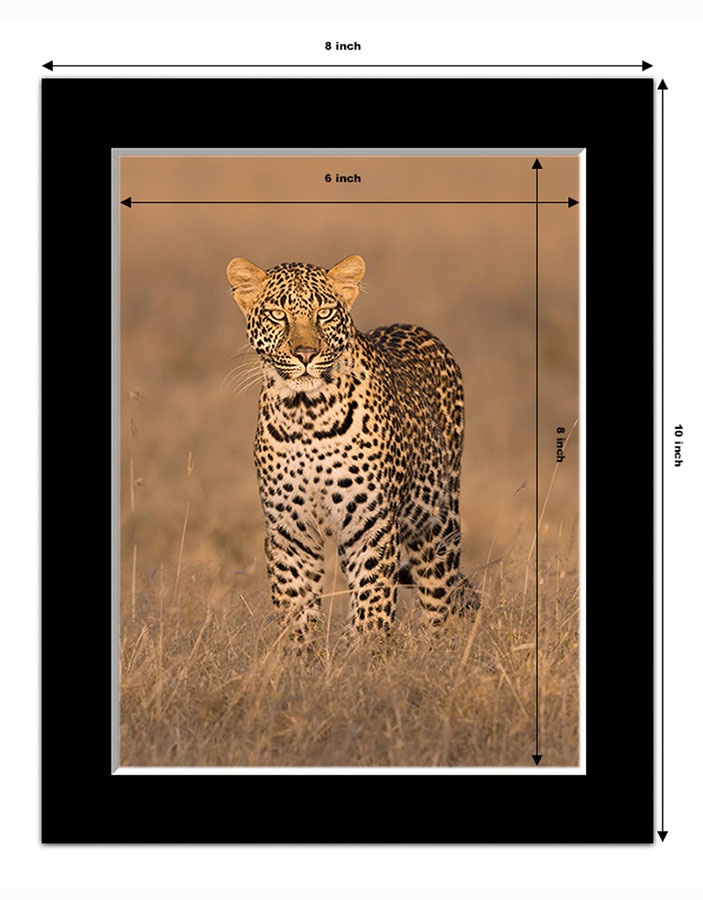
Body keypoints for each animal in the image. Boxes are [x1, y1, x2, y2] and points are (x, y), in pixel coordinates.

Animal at [227, 253, 479, 641]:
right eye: (278, 315)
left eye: (325, 312)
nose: (305, 354)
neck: (306, 415)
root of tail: (414, 327)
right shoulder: (290, 531)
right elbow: (295, 612)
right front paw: (298, 653)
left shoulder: (370, 525)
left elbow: (373, 604)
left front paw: (366, 652)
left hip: (438, 522)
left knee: (440, 600)